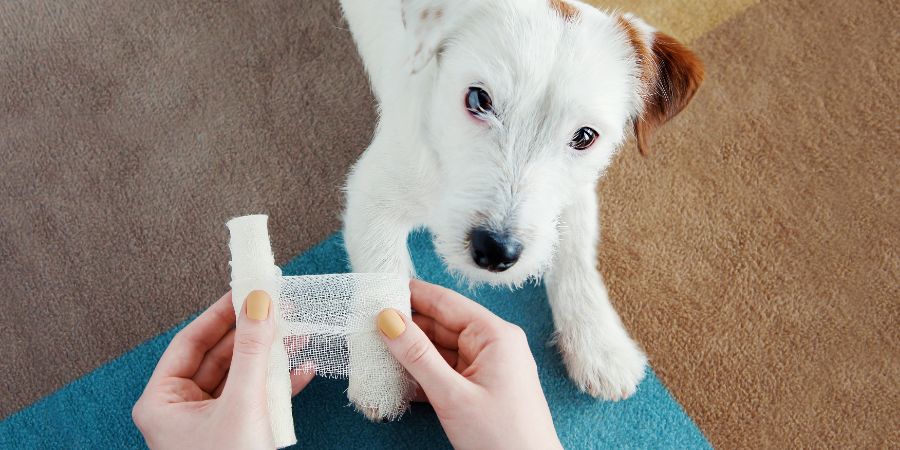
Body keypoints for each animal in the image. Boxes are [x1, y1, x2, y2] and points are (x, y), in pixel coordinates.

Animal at [338, 0, 704, 416]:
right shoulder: (372, 193)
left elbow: (576, 256)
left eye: (584, 136)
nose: (496, 251)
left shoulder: (575, 195)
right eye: (479, 99)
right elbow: (381, 279)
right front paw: (381, 373)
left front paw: (599, 343)